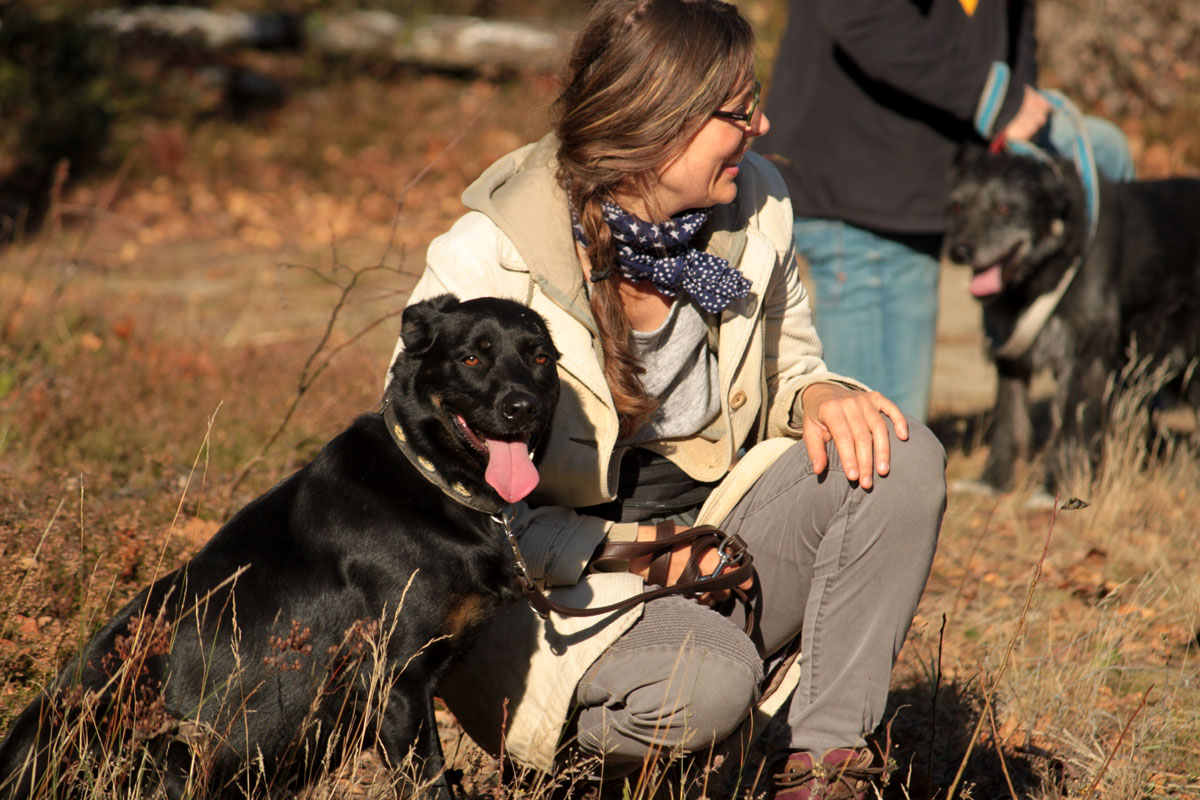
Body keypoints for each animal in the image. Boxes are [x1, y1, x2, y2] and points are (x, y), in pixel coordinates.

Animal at [0, 294, 560, 799]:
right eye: (471, 358)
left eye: (540, 358)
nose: (522, 407)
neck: (430, 476)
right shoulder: (397, 682)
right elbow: (429, 784)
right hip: (166, 751)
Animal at [944, 147, 1200, 497]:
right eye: (958, 205)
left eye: (1004, 207)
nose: (959, 251)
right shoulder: (1012, 353)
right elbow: (1008, 420)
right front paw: (993, 481)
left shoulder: (1085, 356)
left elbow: (1071, 429)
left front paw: (1056, 488)